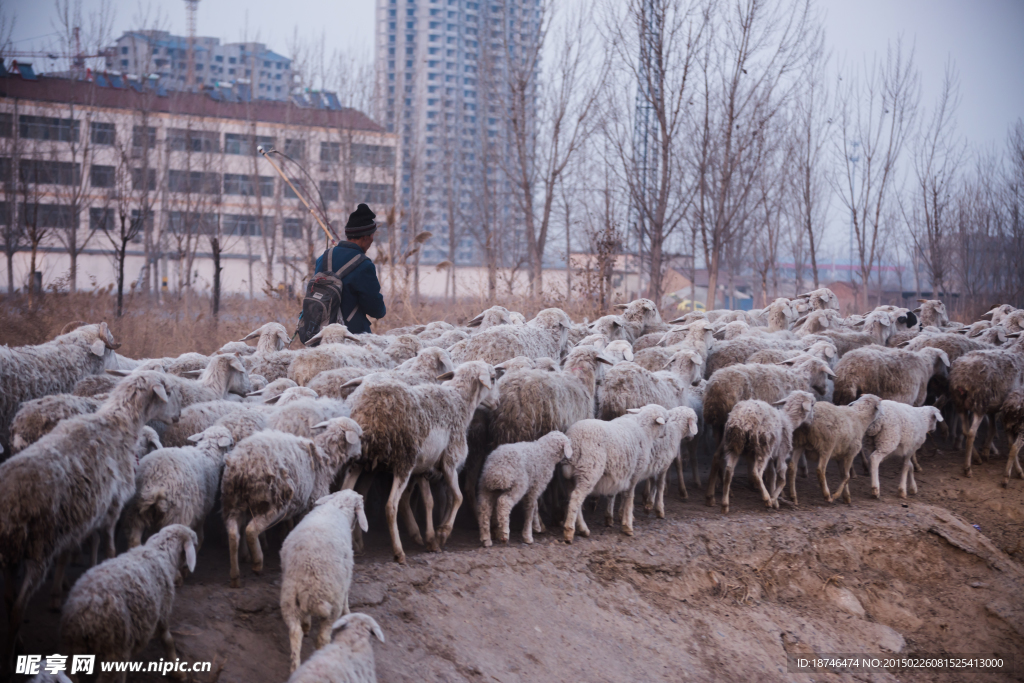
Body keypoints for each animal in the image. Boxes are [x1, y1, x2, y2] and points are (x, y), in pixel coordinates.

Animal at [0, 370, 182, 659]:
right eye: (171, 391)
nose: (178, 416)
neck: (117, 425)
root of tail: (8, 504)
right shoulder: (112, 507)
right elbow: (108, 548)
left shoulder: (84, 514)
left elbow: (80, 548)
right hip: (38, 549)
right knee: (18, 608)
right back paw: (10, 656)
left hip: (9, 554)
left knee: (8, 599)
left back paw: (16, 641)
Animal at [224, 417, 364, 589]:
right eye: (360, 437)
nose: (360, 457)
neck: (325, 456)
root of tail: (243, 465)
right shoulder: (315, 498)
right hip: (275, 501)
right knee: (251, 529)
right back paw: (257, 563)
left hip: (232, 501)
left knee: (233, 534)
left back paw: (235, 576)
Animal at [282, 491, 370, 671]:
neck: (337, 506)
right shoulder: (347, 573)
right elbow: (346, 596)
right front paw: (348, 613)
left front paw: (307, 624)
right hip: (332, 602)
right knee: (323, 637)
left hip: (289, 598)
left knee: (295, 632)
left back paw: (295, 666)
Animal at [346, 360, 497, 565]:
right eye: (494, 378)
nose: (498, 403)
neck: (460, 402)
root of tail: (370, 410)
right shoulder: (450, 463)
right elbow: (457, 497)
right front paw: (443, 533)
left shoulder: (424, 468)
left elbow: (429, 502)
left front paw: (431, 540)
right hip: (403, 462)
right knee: (391, 506)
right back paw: (399, 552)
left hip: (359, 460)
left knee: (345, 491)